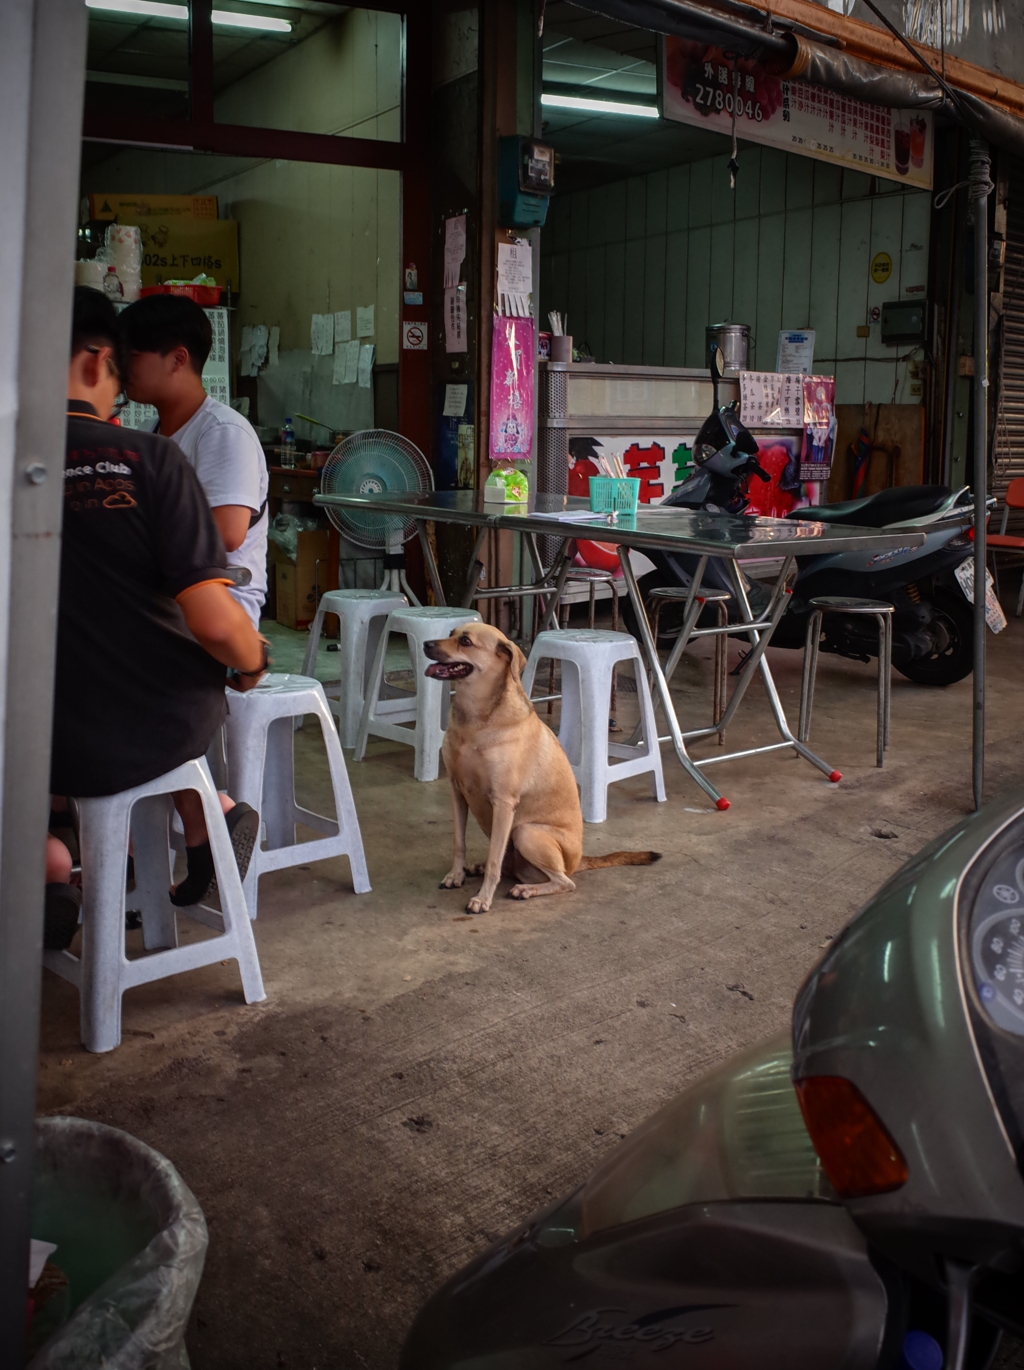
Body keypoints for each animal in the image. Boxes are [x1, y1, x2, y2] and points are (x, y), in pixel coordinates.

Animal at [419, 627, 660, 915]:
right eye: (451, 633)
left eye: (465, 641)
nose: (426, 644)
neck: (477, 719)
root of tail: (579, 861)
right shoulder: (457, 792)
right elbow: (459, 843)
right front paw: (456, 875)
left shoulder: (503, 803)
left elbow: (494, 861)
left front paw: (483, 898)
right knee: (510, 865)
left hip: (526, 833)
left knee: (564, 882)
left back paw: (527, 889)